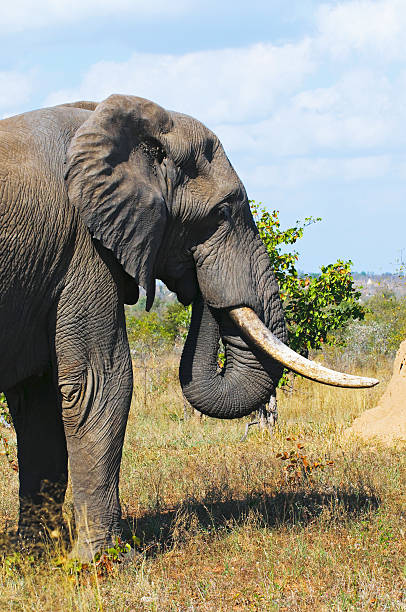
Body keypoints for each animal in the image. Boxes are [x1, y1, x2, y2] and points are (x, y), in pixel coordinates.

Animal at [0, 94, 378, 560]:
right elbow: (99, 384)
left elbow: (39, 404)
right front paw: (104, 564)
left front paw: (35, 559)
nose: (197, 285)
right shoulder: (83, 249)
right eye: (222, 212)